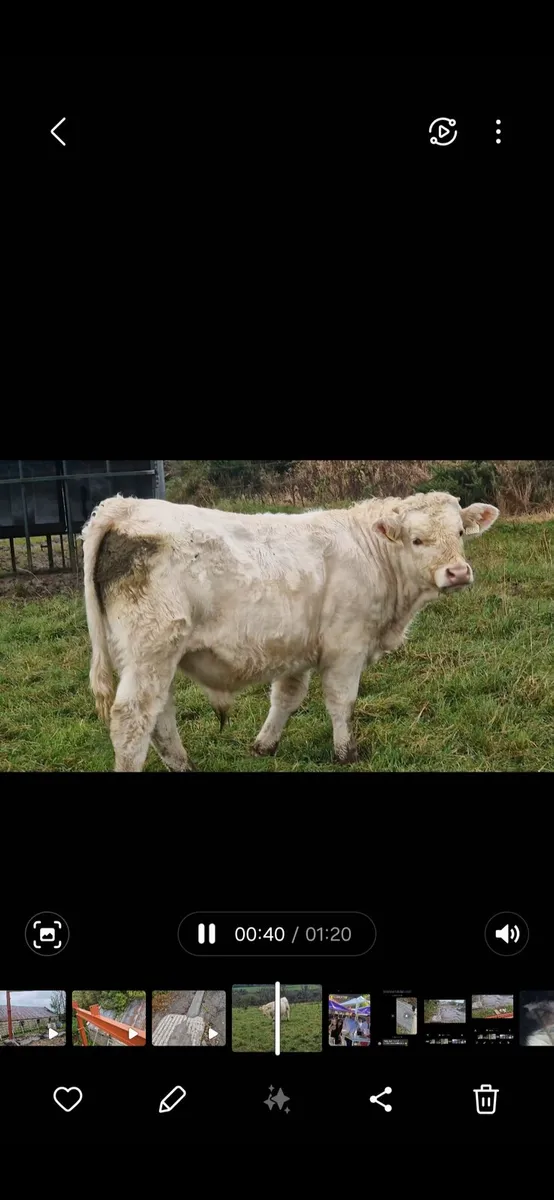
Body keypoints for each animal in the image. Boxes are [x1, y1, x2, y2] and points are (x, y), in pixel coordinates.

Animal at [81, 489, 499, 772]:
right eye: (417, 539)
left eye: (460, 532)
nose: (457, 573)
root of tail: (123, 507)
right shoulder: (346, 646)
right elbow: (342, 701)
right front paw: (345, 753)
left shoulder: (297, 648)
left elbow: (286, 697)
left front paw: (264, 745)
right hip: (152, 649)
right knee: (133, 718)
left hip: (148, 655)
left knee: (160, 714)